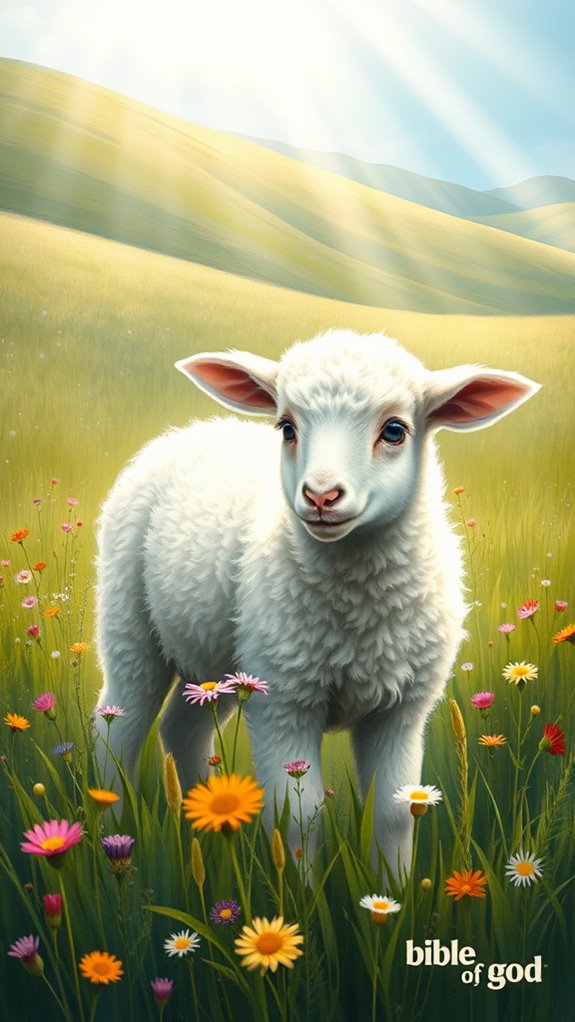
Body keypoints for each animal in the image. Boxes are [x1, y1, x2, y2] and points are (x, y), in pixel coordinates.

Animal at [95, 328, 539, 874]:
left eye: (395, 431)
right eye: (287, 427)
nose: (321, 496)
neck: (357, 611)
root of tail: (188, 431)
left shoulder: (401, 709)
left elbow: (396, 812)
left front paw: (391, 890)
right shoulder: (285, 700)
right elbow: (298, 819)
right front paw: (301, 893)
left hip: (224, 660)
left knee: (183, 727)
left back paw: (207, 820)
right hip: (133, 622)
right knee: (119, 725)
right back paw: (116, 830)